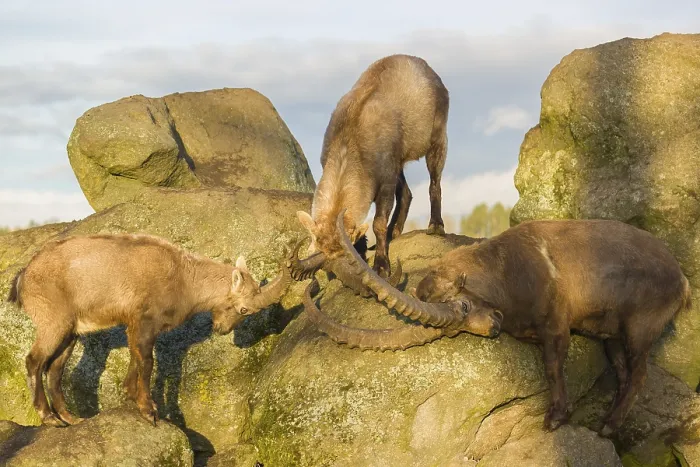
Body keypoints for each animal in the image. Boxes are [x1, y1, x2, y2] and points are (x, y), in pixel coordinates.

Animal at [6, 233, 292, 427]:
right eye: (244, 309)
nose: (223, 329)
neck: (184, 278)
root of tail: (24, 276)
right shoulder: (145, 321)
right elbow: (147, 362)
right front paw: (149, 410)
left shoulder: (136, 326)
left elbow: (137, 359)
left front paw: (133, 396)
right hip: (54, 323)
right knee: (34, 361)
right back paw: (49, 418)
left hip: (71, 332)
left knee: (55, 369)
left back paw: (70, 418)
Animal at [293, 53, 450, 281]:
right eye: (324, 255)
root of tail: (429, 70)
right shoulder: (388, 168)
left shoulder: (385, 181)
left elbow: (378, 223)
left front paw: (382, 266)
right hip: (398, 162)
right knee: (407, 193)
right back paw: (396, 232)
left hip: (437, 139)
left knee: (434, 183)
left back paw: (436, 225)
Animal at [307, 211, 691, 436]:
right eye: (454, 330)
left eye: (463, 304)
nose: (492, 327)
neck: (505, 271)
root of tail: (681, 279)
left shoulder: (556, 323)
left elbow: (553, 366)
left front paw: (556, 417)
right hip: (612, 335)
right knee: (624, 374)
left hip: (640, 327)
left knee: (639, 374)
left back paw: (609, 427)